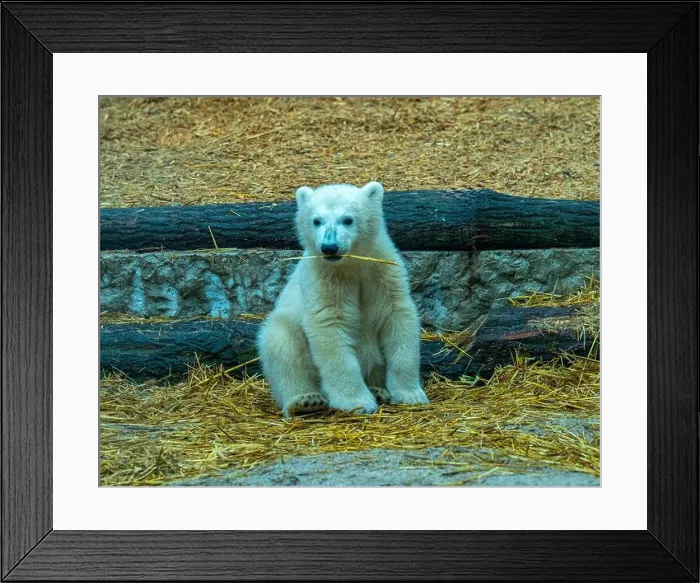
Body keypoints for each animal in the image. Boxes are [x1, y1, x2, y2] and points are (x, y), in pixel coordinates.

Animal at [257, 181, 429, 418]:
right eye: (316, 220)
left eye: (347, 219)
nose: (329, 247)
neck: (351, 265)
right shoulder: (324, 279)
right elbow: (330, 325)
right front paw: (357, 401)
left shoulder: (383, 273)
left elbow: (397, 317)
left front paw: (410, 394)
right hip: (285, 326)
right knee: (282, 348)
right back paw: (305, 401)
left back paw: (378, 391)